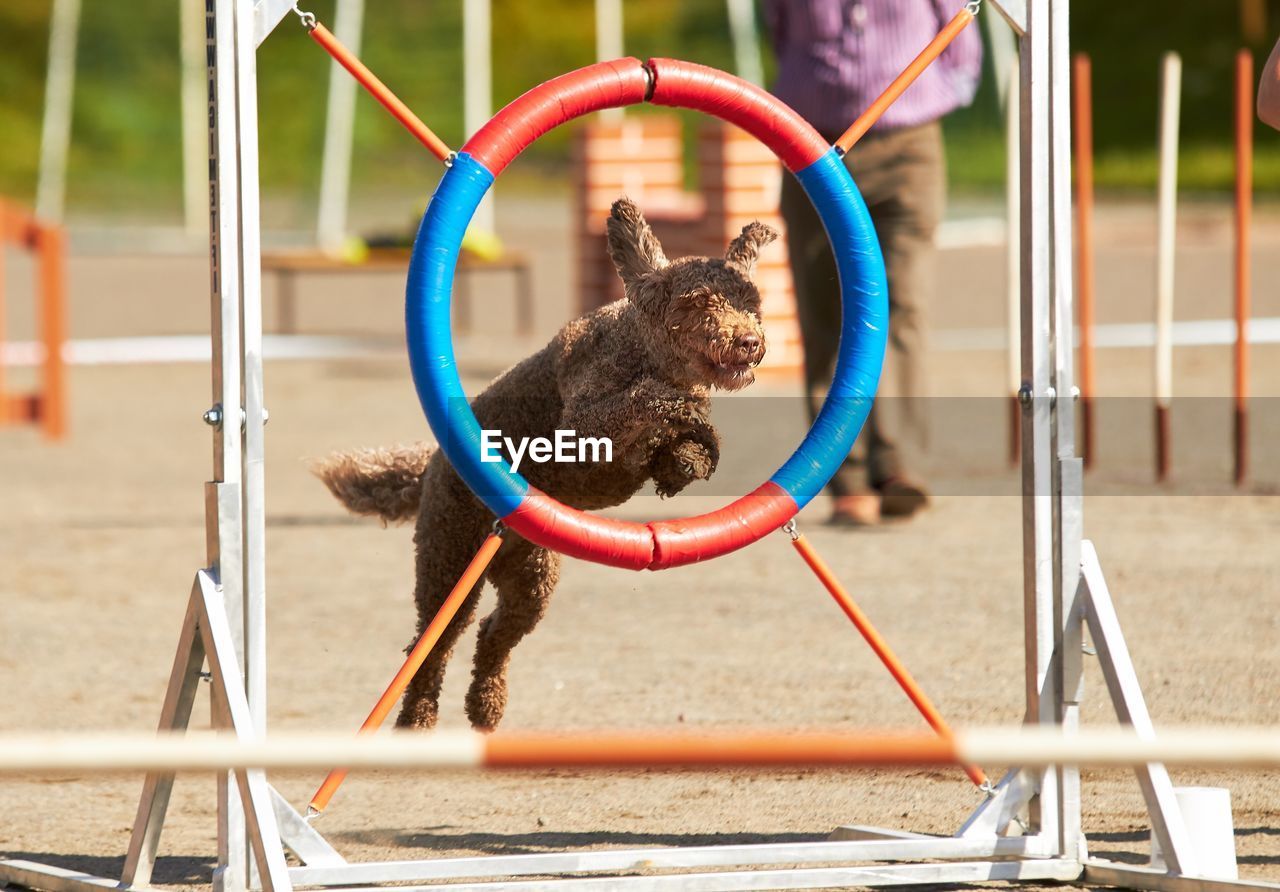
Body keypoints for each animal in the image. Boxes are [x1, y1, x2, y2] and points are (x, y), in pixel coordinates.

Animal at [314, 197, 773, 732]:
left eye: (751, 304)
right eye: (698, 303)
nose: (749, 341)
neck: (642, 348)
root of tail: (429, 466)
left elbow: (681, 446)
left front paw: (689, 456)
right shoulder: (585, 419)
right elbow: (649, 398)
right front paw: (686, 414)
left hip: (530, 576)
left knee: (494, 632)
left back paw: (485, 705)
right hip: (450, 561)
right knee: (432, 646)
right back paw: (417, 719)